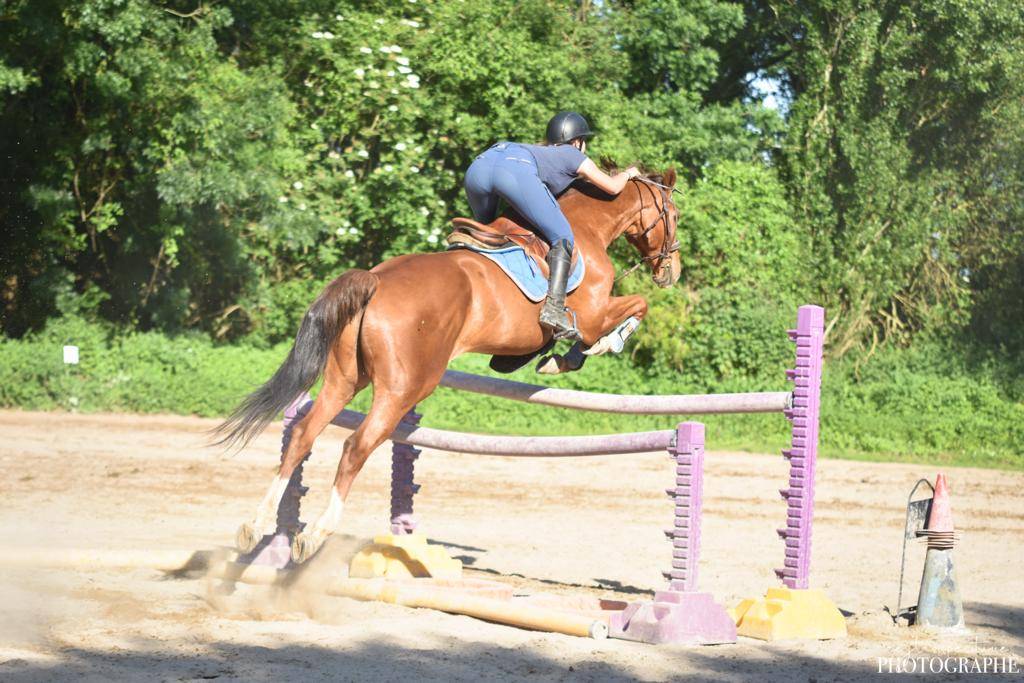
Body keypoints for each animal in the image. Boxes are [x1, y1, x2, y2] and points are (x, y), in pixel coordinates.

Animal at [217, 169, 681, 563]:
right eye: (674, 215)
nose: (671, 272)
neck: (587, 226)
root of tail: (376, 280)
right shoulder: (594, 313)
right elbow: (635, 307)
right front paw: (585, 351)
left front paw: (546, 359)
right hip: (405, 388)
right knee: (355, 447)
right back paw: (315, 534)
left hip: (345, 379)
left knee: (302, 435)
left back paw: (255, 526)